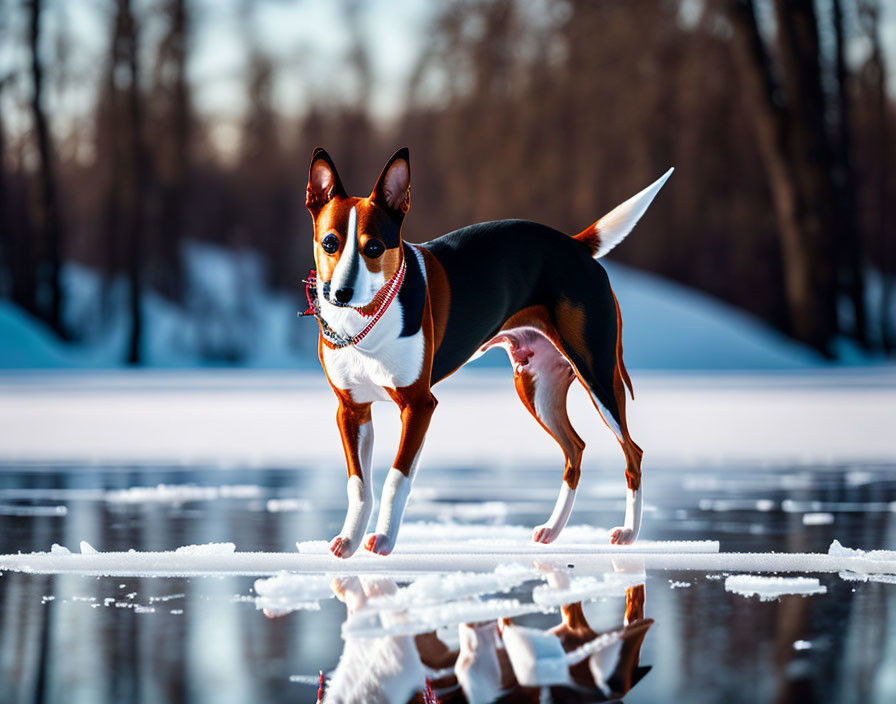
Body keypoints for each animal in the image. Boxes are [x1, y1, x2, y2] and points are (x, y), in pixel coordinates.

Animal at [302, 147, 672, 556]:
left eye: (373, 247)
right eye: (330, 243)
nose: (341, 293)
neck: (365, 324)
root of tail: (576, 245)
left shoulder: (418, 405)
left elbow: (397, 478)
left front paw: (383, 539)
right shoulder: (351, 410)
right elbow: (358, 484)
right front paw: (349, 541)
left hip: (598, 376)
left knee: (632, 454)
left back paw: (629, 533)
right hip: (537, 387)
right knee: (575, 449)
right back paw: (553, 530)